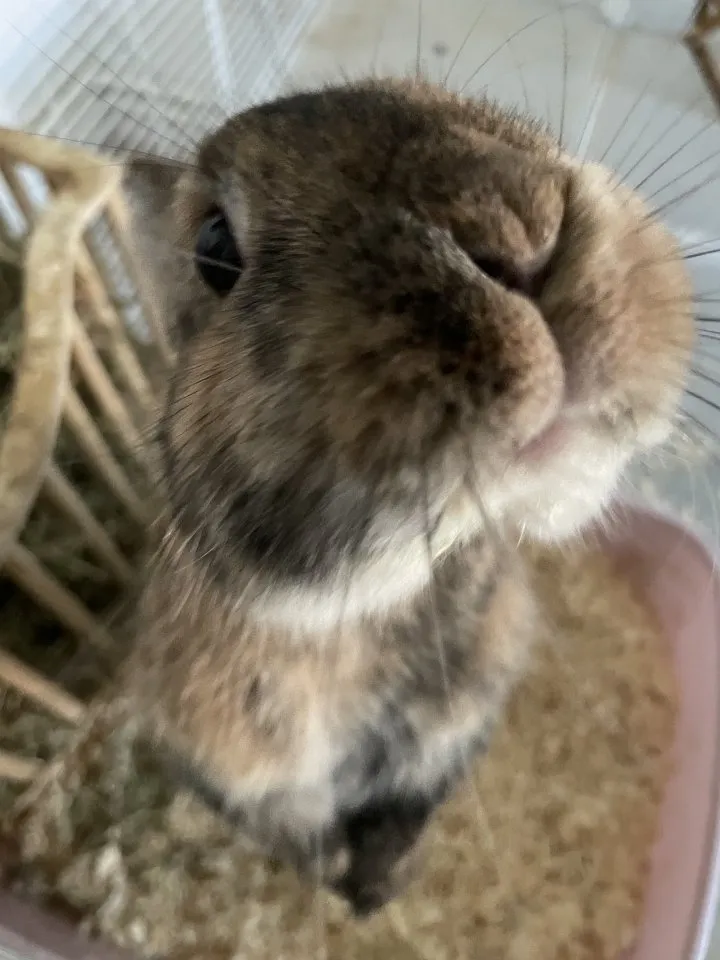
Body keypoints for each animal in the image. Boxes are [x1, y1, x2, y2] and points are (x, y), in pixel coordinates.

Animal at [120, 77, 693, 916]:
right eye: (214, 249)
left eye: (461, 99)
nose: (515, 236)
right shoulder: (240, 774)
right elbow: (301, 838)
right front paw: (351, 890)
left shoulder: (453, 738)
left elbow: (406, 817)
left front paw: (378, 888)